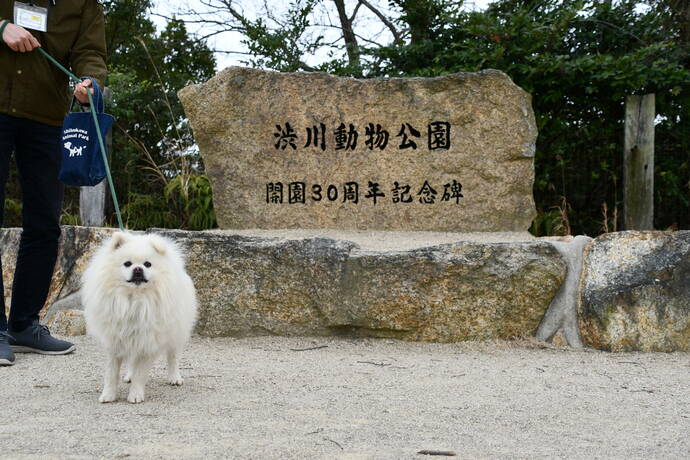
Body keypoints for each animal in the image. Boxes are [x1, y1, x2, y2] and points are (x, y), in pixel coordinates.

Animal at [82, 234, 199, 402]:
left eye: (148, 264)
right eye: (127, 264)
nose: (138, 269)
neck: (134, 299)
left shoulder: (147, 343)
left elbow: (140, 373)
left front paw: (135, 395)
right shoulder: (115, 342)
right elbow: (111, 374)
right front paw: (108, 395)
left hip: (176, 333)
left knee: (173, 357)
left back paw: (174, 377)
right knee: (132, 360)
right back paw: (129, 375)